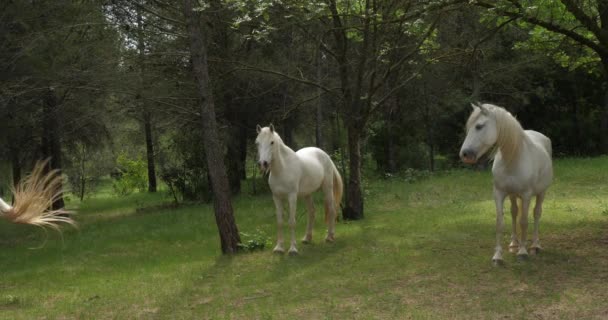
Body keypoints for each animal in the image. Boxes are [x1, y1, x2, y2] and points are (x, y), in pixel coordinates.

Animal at [255, 124, 342, 255]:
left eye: (272, 142)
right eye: (257, 143)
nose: (263, 164)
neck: (282, 169)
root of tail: (325, 155)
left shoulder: (292, 196)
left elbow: (291, 222)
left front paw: (293, 249)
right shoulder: (276, 197)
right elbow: (279, 222)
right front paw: (279, 248)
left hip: (327, 188)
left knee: (331, 209)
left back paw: (330, 237)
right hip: (307, 194)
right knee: (312, 212)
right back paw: (307, 238)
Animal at [460, 104, 552, 264]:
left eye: (479, 126)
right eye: (469, 126)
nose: (465, 154)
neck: (513, 158)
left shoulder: (526, 195)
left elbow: (524, 221)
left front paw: (523, 252)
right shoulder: (499, 193)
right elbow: (500, 222)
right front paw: (497, 256)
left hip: (541, 193)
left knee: (536, 214)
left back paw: (535, 246)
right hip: (513, 195)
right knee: (514, 212)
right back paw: (514, 243)